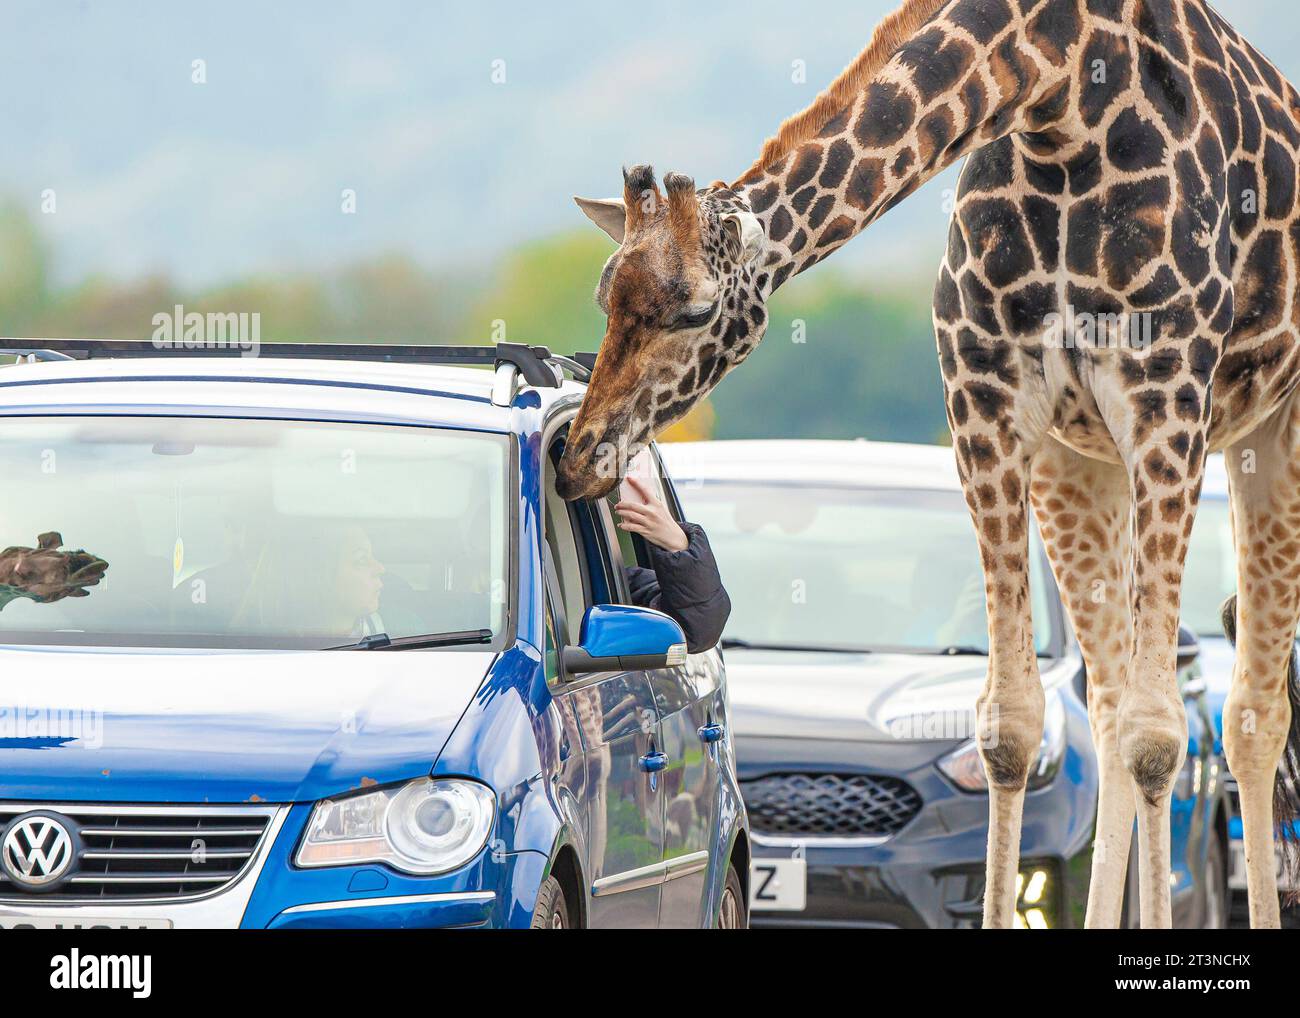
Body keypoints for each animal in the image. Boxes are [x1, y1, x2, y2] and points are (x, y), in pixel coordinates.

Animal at [561, 0, 1300, 930]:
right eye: (604, 294)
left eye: (694, 310)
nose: (580, 455)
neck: (1063, 102)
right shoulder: (986, 402)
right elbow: (1013, 726)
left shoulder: (1167, 399)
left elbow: (1158, 737)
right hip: (1080, 461)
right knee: (1109, 701)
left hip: (1264, 431)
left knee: (1248, 716)